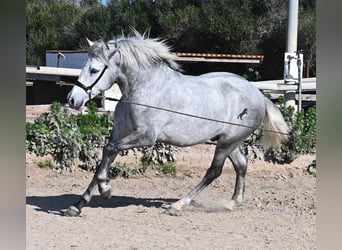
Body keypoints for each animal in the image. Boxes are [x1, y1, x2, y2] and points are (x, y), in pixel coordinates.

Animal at [65, 30, 288, 216]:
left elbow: (109, 150)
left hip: (227, 142)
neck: (144, 90)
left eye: (94, 70)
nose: (72, 100)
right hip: (228, 141)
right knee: (241, 165)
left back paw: (178, 205)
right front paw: (77, 206)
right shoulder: (119, 134)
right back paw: (231, 203)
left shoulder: (145, 137)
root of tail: (258, 94)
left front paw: (106, 189)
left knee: (214, 171)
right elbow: (104, 158)